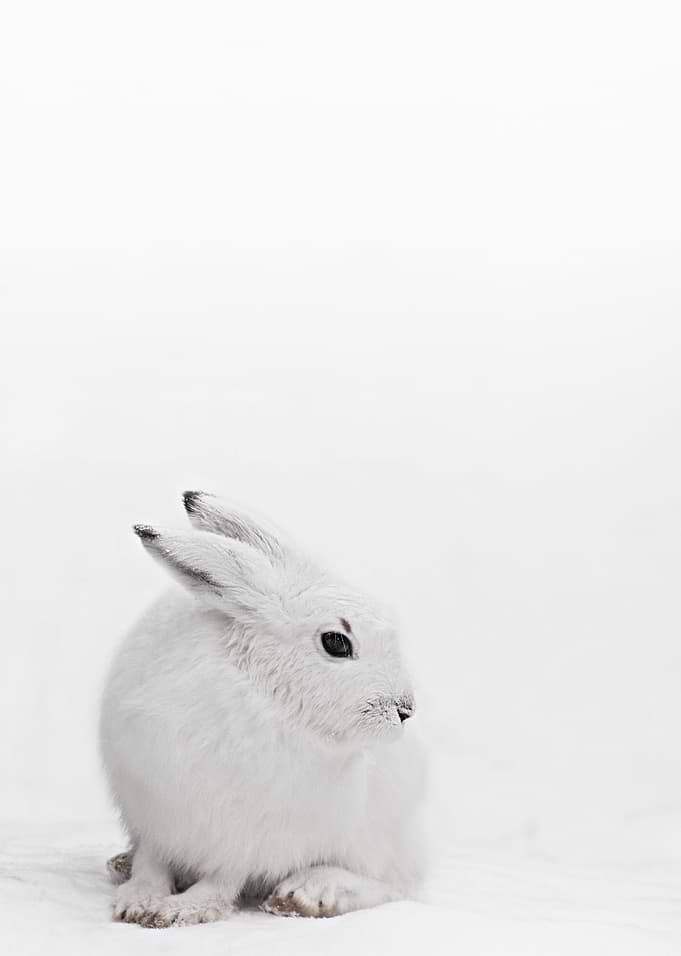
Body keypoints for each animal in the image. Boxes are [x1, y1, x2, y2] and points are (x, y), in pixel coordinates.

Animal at [99, 492, 426, 928]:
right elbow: (153, 862)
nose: (404, 708)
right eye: (337, 642)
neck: (262, 694)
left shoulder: (253, 838)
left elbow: (223, 879)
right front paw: (139, 900)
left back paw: (307, 894)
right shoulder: (154, 812)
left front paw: (181, 910)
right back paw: (121, 863)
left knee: (391, 883)